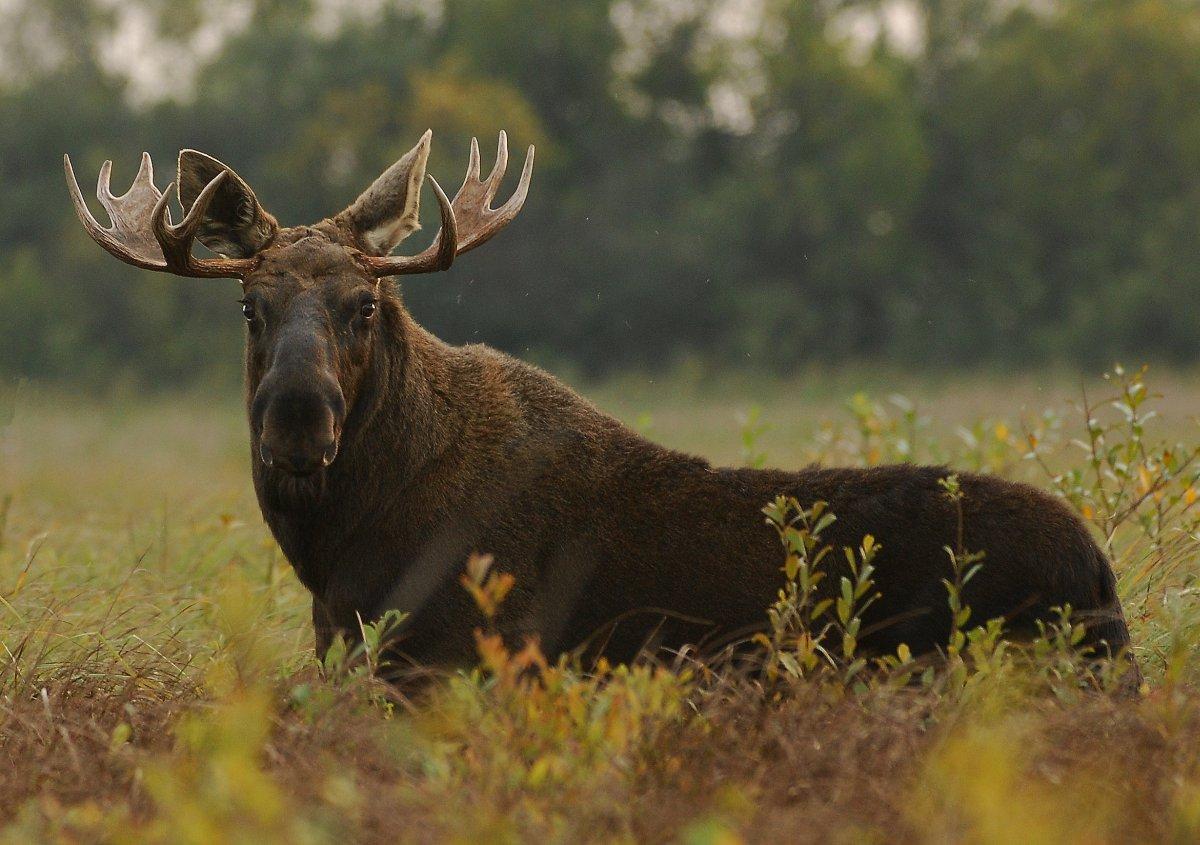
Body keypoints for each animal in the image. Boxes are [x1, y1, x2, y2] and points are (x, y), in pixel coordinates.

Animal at [60, 132, 1137, 681]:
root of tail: (1103, 575)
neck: (338, 552)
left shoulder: (452, 661)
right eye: (250, 304)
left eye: (366, 304)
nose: (296, 416)